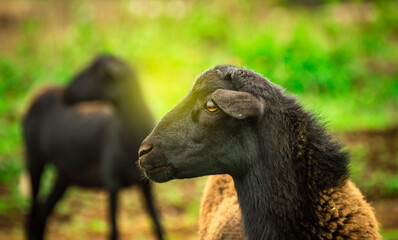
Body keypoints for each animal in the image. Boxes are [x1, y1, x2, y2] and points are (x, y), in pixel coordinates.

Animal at [23, 56, 164, 240]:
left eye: (98, 72)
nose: (66, 93)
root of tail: (40, 92)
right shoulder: (111, 181)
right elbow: (114, 232)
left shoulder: (146, 185)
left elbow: (158, 226)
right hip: (34, 158)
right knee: (32, 214)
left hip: (65, 174)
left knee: (42, 214)